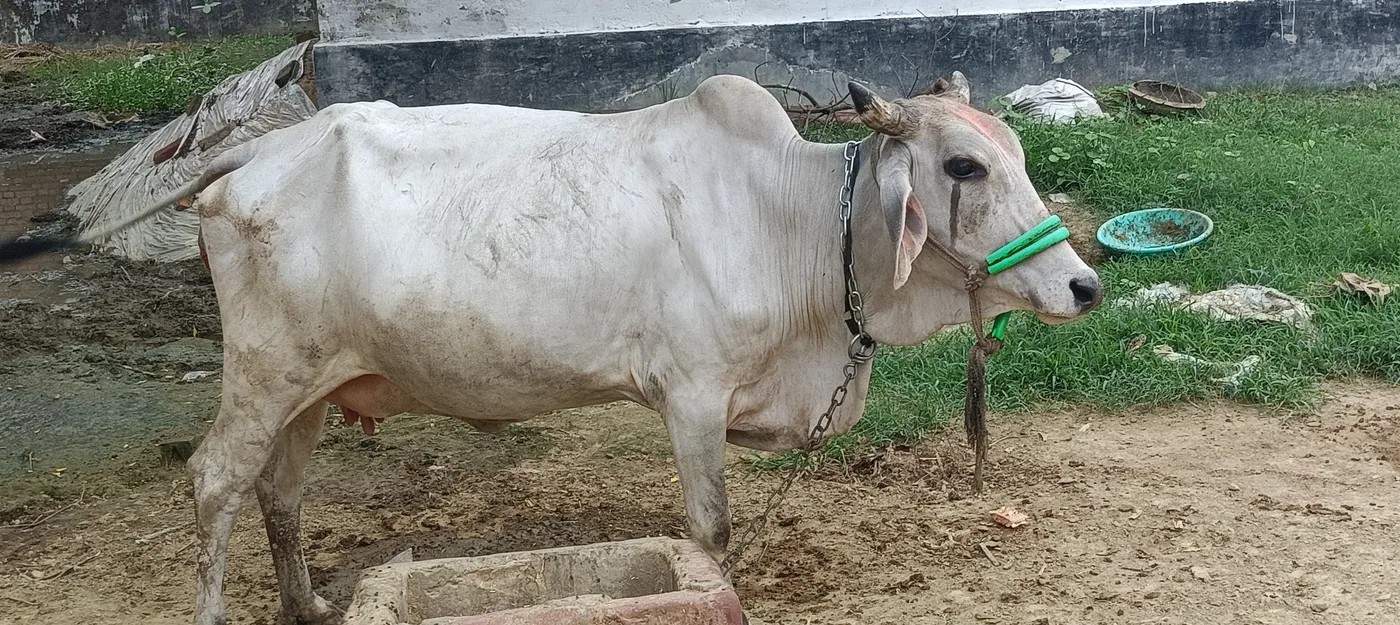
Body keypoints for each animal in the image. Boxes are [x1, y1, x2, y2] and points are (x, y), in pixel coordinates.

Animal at [0, 72, 1101, 624]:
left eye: (1011, 147)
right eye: (962, 165)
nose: (1082, 285)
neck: (793, 221)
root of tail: (252, 157)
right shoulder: (691, 395)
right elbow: (708, 530)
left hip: (313, 384)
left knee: (278, 490)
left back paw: (310, 604)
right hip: (263, 372)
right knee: (215, 482)